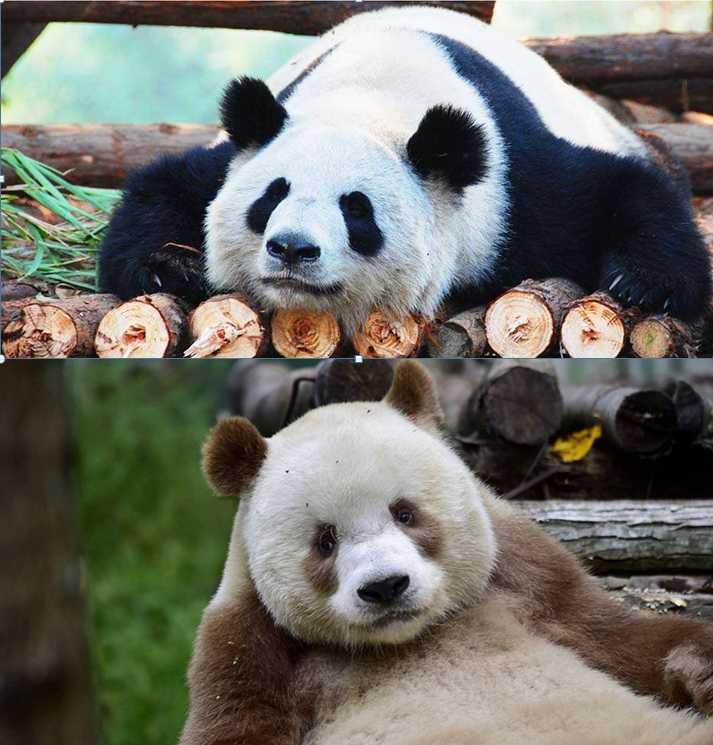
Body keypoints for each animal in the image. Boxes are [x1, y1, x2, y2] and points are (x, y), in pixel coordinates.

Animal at [179, 361, 713, 745]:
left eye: (405, 513)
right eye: (325, 542)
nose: (386, 587)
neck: (408, 639)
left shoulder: (527, 581)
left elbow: (617, 638)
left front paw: (699, 671)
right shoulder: (249, 644)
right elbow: (236, 723)